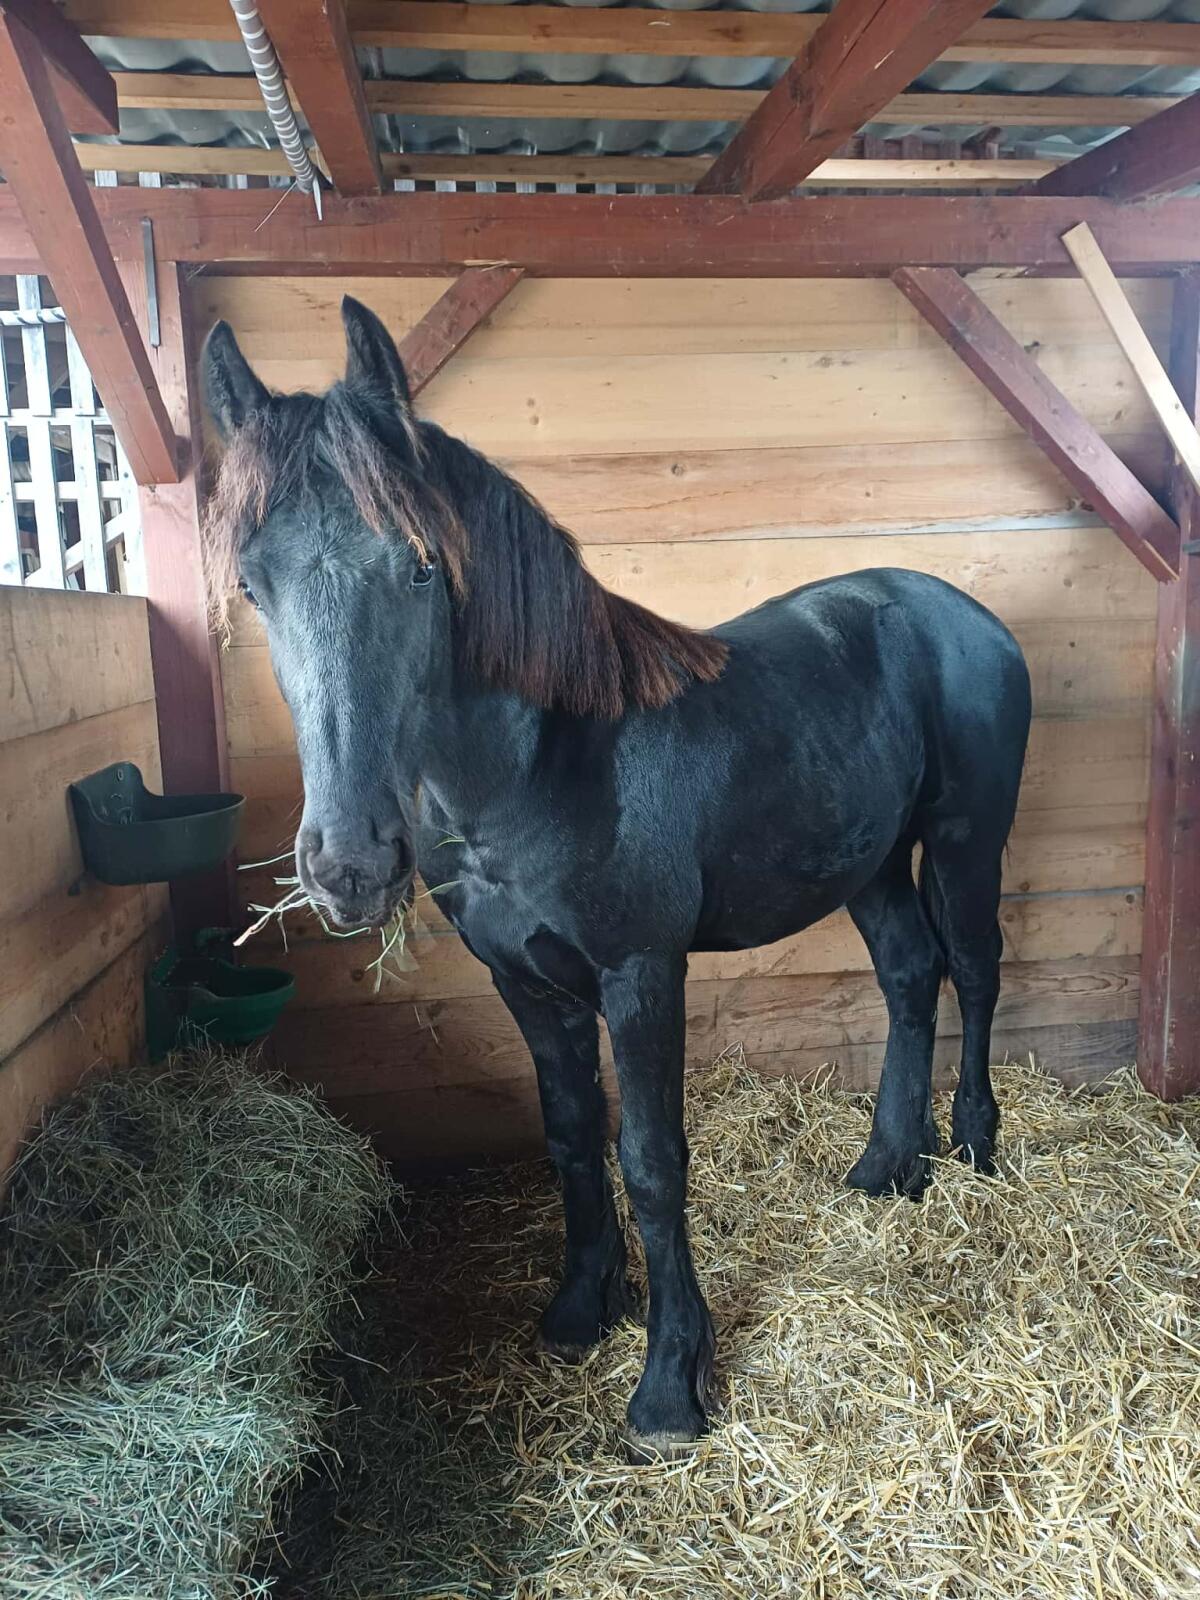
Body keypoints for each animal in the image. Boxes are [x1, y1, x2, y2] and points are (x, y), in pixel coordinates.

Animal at [202, 298, 1032, 1458]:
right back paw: (887, 1168)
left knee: (976, 971)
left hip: (963, 842)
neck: (540, 765)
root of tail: (962, 613)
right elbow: (569, 1135)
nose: (349, 863)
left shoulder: (642, 977)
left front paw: (670, 1384)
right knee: (913, 977)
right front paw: (580, 1309)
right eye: (252, 582)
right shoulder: (526, 984)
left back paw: (976, 1144)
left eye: (421, 566)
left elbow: (649, 1156)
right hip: (868, 865)